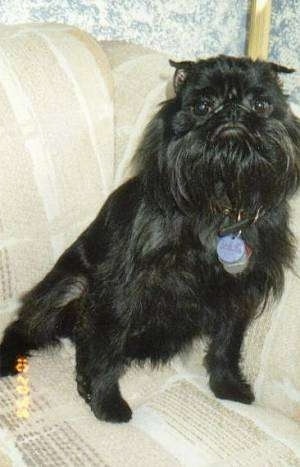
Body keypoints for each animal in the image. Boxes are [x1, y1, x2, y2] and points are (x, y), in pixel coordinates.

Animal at [0, 54, 300, 424]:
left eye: (261, 105)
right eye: (202, 105)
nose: (231, 111)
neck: (221, 199)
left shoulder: (240, 289)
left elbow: (228, 342)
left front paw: (227, 384)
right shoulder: (124, 287)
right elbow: (108, 345)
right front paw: (106, 400)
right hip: (68, 287)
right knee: (28, 326)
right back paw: (11, 357)